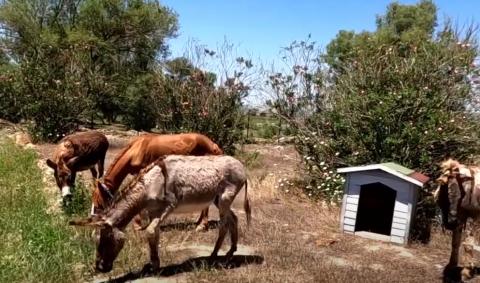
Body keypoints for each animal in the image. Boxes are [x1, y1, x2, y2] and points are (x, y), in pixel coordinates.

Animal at [93, 133, 224, 231]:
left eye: (98, 199)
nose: (95, 217)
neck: (136, 150)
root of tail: (214, 145)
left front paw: (138, 225)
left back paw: (202, 225)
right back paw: (199, 222)